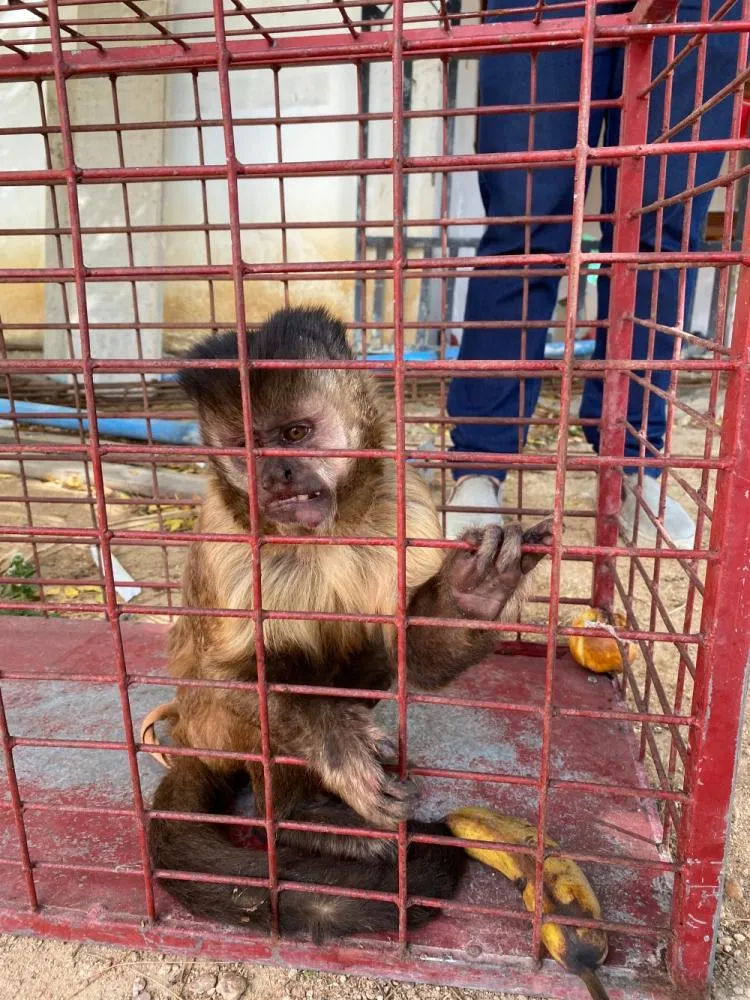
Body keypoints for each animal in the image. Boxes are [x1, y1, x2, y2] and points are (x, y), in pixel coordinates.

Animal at [147, 305, 553, 940]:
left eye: (294, 435)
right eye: (248, 448)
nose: (278, 477)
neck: (326, 529)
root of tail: (192, 737)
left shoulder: (402, 502)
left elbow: (412, 651)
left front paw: (477, 592)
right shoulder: (230, 535)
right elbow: (226, 674)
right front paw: (339, 750)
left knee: (368, 647)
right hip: (214, 727)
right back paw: (304, 817)